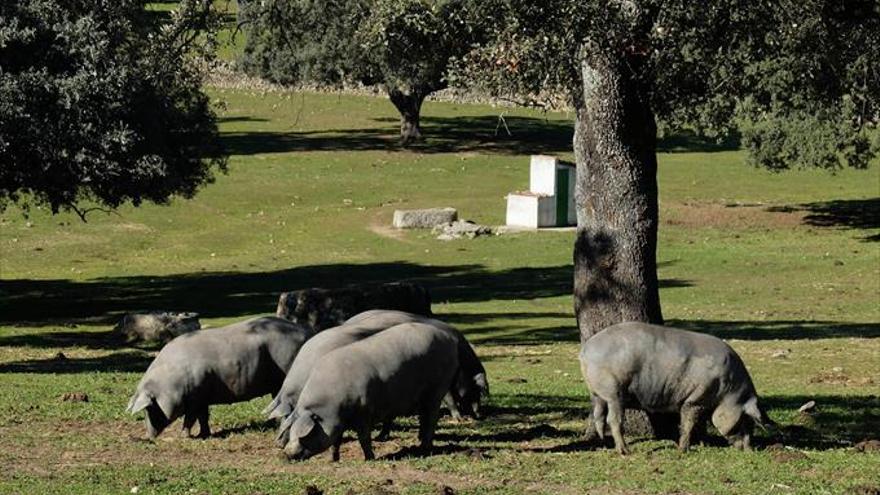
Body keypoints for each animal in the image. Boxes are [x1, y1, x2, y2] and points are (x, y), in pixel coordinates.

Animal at [127, 316, 312, 440]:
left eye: (150, 408)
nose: (149, 436)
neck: (171, 384)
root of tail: (306, 333)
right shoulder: (202, 396)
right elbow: (203, 417)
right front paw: (204, 434)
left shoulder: (195, 396)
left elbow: (190, 418)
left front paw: (183, 436)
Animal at [282, 324, 460, 464]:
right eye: (291, 433)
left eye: (306, 435)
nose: (287, 453)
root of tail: (449, 338)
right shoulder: (338, 422)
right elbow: (336, 441)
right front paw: (333, 460)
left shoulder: (364, 411)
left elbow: (364, 438)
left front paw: (370, 459)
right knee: (424, 416)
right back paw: (419, 441)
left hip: (438, 387)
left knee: (432, 416)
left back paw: (424, 447)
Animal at [580, 324, 768, 456]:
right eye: (745, 420)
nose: (750, 450)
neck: (729, 391)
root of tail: (585, 350)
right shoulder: (696, 398)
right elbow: (688, 423)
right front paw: (683, 450)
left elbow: (700, 423)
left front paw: (702, 443)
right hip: (614, 391)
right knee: (613, 419)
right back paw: (625, 451)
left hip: (596, 392)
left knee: (598, 414)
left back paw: (603, 441)